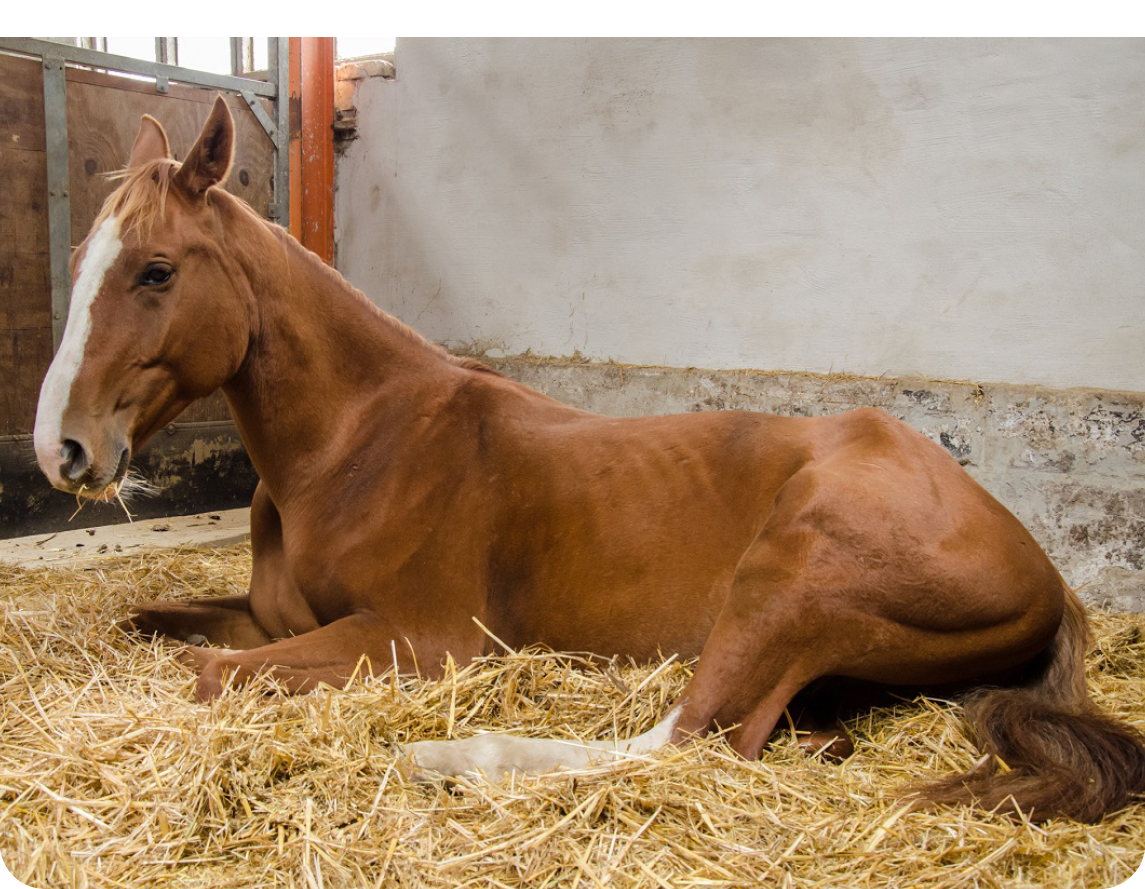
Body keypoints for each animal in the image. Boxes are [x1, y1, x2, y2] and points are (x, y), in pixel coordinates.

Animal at [33, 97, 1145, 823]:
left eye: (157, 270)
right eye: (85, 258)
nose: (62, 447)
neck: (359, 444)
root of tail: (1043, 571)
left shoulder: (421, 637)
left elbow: (212, 676)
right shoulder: (278, 618)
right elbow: (156, 623)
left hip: (793, 575)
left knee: (684, 736)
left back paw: (448, 754)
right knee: (771, 730)